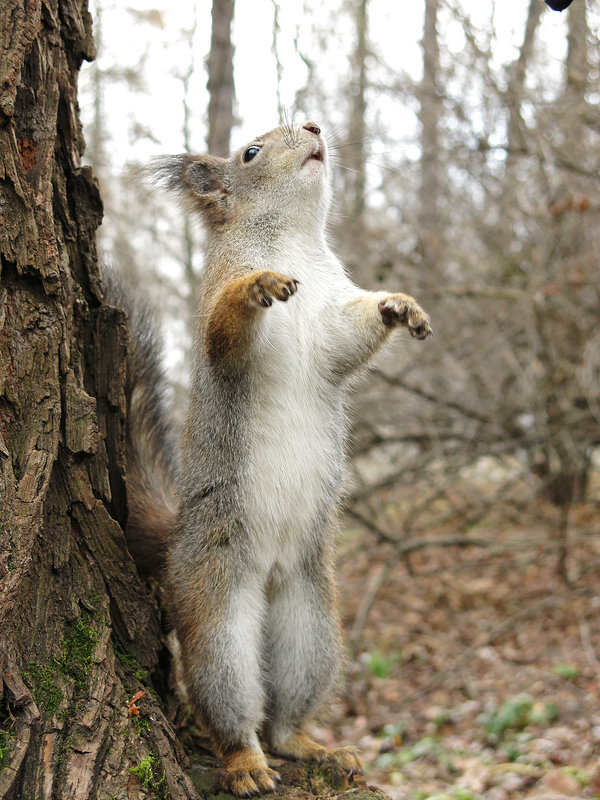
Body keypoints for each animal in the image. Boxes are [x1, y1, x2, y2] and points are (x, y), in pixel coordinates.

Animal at [108, 117, 432, 792]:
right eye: (251, 151)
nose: (312, 125)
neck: (293, 241)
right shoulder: (217, 305)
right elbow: (223, 329)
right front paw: (260, 286)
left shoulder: (333, 315)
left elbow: (348, 338)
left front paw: (397, 304)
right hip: (217, 607)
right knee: (228, 702)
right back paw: (245, 763)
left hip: (311, 626)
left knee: (284, 715)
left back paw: (312, 746)